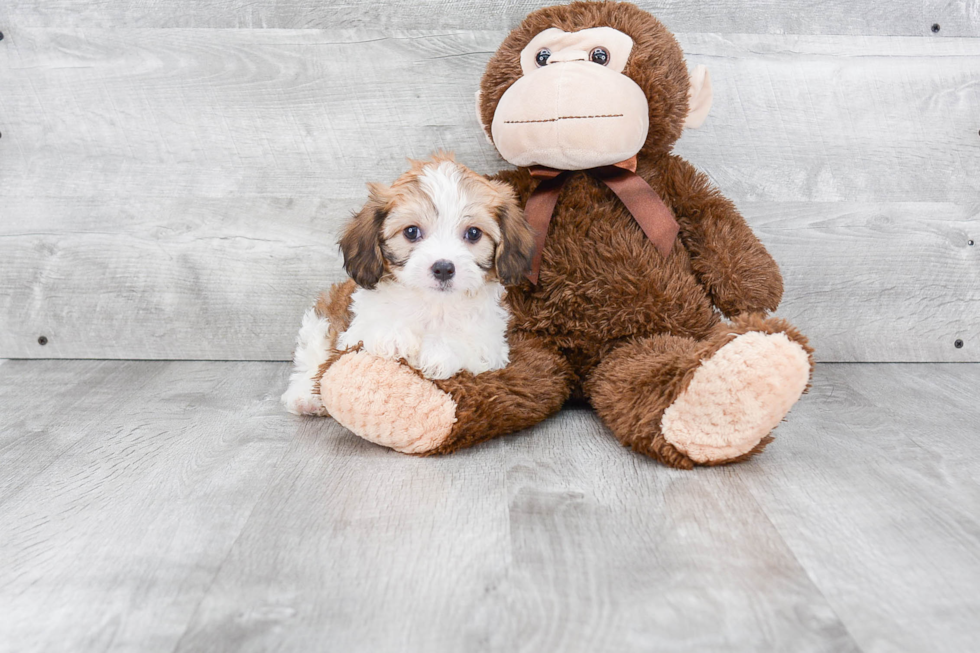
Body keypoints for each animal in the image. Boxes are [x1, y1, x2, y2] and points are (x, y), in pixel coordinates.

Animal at [280, 154, 532, 412]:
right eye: (411, 232)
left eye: (473, 233)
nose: (443, 268)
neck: (433, 304)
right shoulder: (353, 333)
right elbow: (373, 330)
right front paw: (394, 337)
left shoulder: (492, 344)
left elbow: (467, 342)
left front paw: (438, 352)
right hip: (321, 321)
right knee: (311, 358)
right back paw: (304, 396)